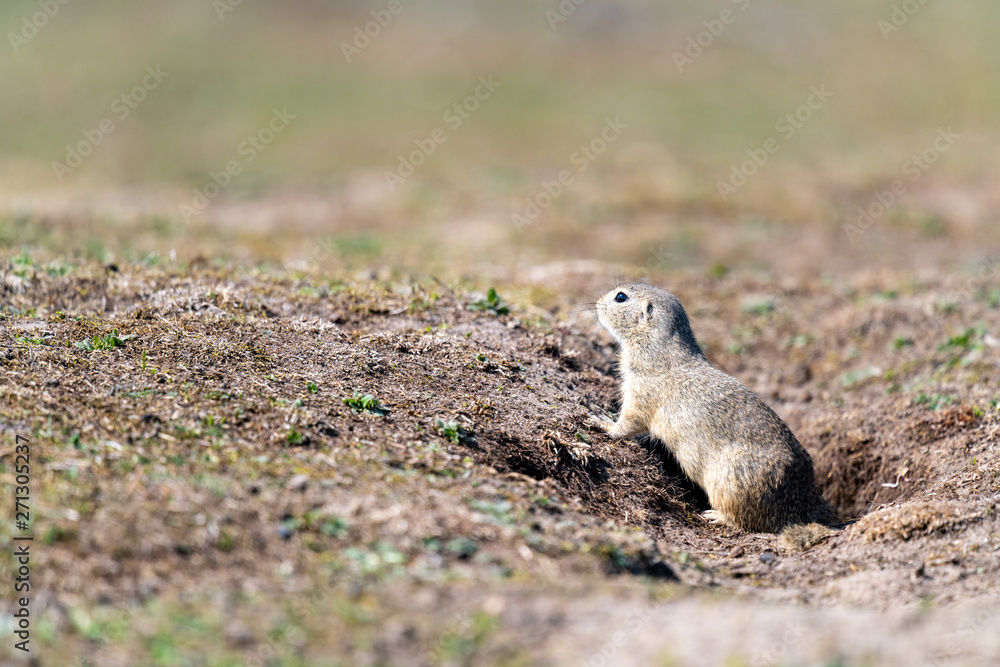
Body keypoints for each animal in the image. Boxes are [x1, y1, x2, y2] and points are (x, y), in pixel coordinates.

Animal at [590, 284, 837, 550]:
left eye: (620, 297)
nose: (596, 303)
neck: (657, 348)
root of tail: (807, 503)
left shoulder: (640, 393)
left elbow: (628, 422)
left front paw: (601, 422)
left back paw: (715, 516)